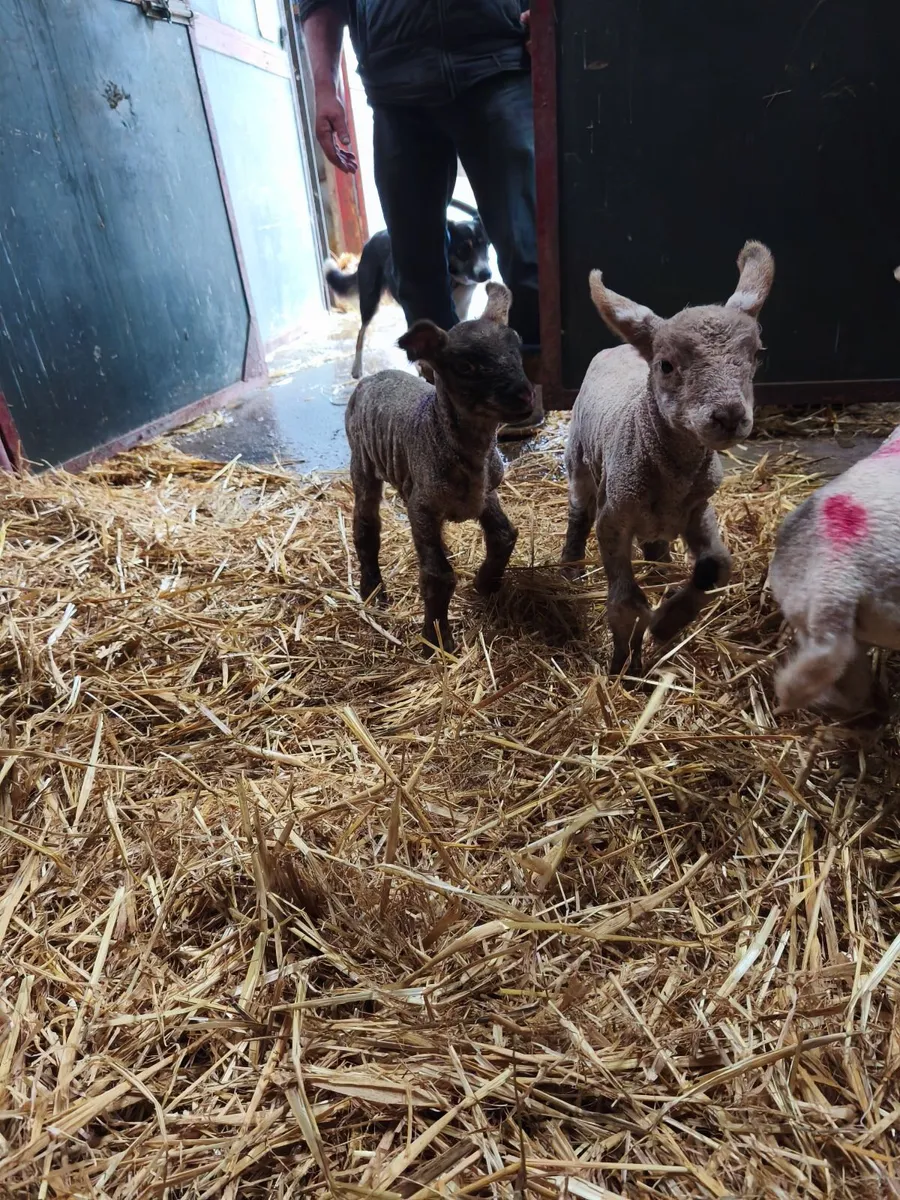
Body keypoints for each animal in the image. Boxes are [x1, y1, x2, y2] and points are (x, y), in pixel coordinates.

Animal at [344, 282, 535, 654]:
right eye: (465, 366)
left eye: (517, 346)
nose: (524, 395)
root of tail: (374, 376)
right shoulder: (422, 506)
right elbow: (438, 574)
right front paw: (437, 640)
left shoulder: (485, 494)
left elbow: (504, 536)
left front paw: (485, 584)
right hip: (362, 460)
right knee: (365, 525)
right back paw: (372, 589)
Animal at [561, 241, 775, 677]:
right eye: (666, 364)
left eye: (755, 356)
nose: (729, 416)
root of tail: (620, 346)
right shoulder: (614, 517)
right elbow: (625, 605)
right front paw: (624, 667)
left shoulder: (698, 508)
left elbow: (716, 566)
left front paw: (668, 623)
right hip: (580, 461)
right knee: (578, 512)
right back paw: (571, 566)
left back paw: (660, 565)